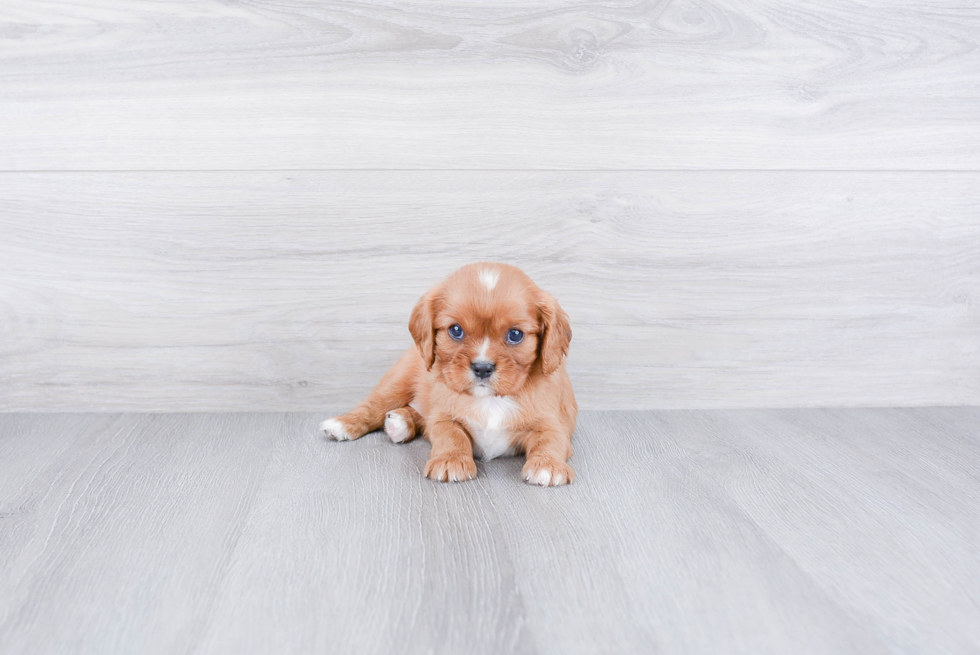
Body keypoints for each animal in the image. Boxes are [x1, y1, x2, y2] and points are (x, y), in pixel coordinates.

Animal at [318, 262, 580, 486]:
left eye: (515, 334)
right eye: (456, 330)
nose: (482, 368)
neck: (490, 400)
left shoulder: (553, 423)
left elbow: (550, 440)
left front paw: (548, 466)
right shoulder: (444, 416)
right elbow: (451, 434)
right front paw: (451, 460)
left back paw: (400, 423)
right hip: (396, 381)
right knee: (372, 407)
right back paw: (344, 424)